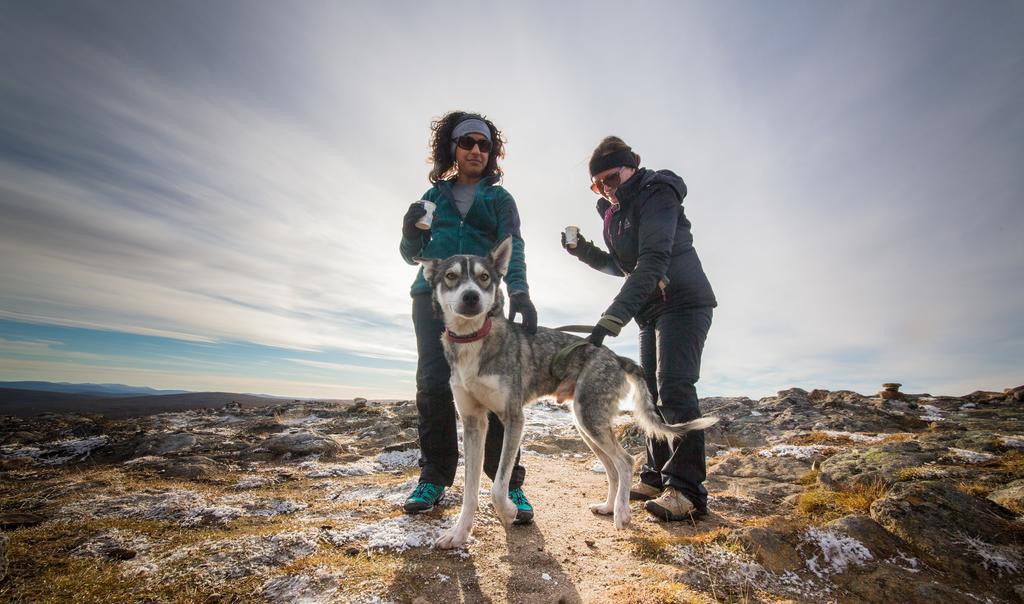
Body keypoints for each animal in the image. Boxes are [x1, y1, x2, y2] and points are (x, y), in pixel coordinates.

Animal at [411, 239, 716, 552]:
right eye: (451, 276)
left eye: (484, 278)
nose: (471, 297)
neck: (473, 338)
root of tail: (615, 356)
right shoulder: (473, 422)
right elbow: (470, 491)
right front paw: (458, 534)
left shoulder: (513, 419)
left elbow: (497, 487)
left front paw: (509, 510)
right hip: (586, 425)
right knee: (612, 468)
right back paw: (608, 507)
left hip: (590, 418)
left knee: (625, 462)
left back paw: (621, 513)